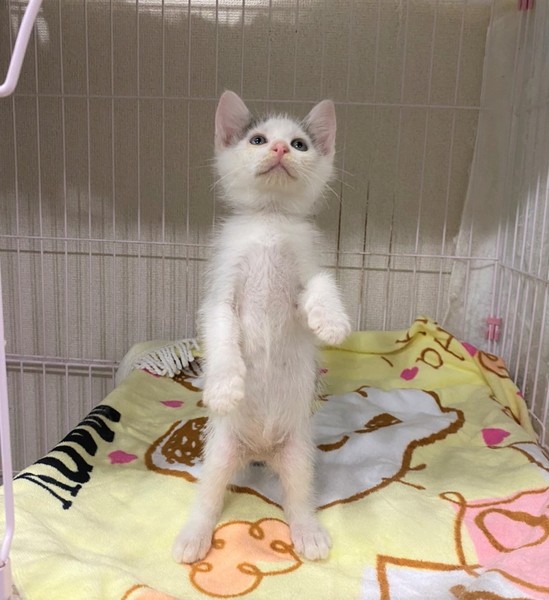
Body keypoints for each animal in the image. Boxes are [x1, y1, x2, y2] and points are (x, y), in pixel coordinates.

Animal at [172, 91, 351, 564]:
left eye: (300, 144)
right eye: (257, 139)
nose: (281, 149)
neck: (270, 222)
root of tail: (260, 452)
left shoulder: (304, 271)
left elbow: (322, 284)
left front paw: (332, 321)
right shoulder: (221, 290)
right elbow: (219, 330)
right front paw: (224, 385)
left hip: (299, 450)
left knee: (298, 495)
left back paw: (308, 532)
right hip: (219, 448)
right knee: (209, 494)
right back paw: (193, 536)